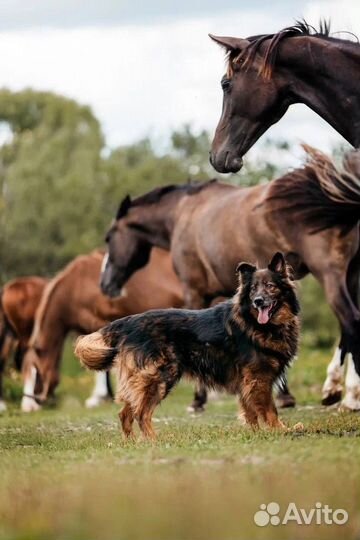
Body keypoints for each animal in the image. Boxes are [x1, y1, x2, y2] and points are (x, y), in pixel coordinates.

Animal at [76, 253, 300, 438]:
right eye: (253, 289)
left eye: (270, 286)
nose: (258, 301)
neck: (255, 323)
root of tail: (127, 323)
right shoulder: (258, 379)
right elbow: (270, 410)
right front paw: (281, 430)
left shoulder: (247, 381)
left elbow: (250, 412)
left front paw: (256, 433)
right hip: (159, 376)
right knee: (141, 413)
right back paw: (154, 442)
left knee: (125, 413)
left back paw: (131, 443)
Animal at [100, 147, 360, 410]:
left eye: (109, 237)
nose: (105, 284)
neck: (184, 212)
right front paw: (282, 394)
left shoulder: (195, 292)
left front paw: (198, 400)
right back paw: (336, 391)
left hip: (330, 275)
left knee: (351, 321)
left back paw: (348, 396)